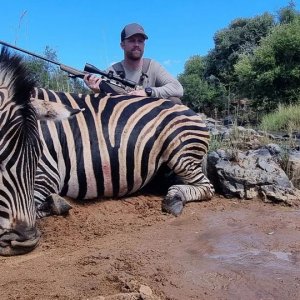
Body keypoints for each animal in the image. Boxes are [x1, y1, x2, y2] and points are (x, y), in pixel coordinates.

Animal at [0, 48, 216, 256]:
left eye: (36, 156)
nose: (22, 241)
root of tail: (191, 112)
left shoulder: (47, 174)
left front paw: (54, 204)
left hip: (180, 152)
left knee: (206, 187)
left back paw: (174, 199)